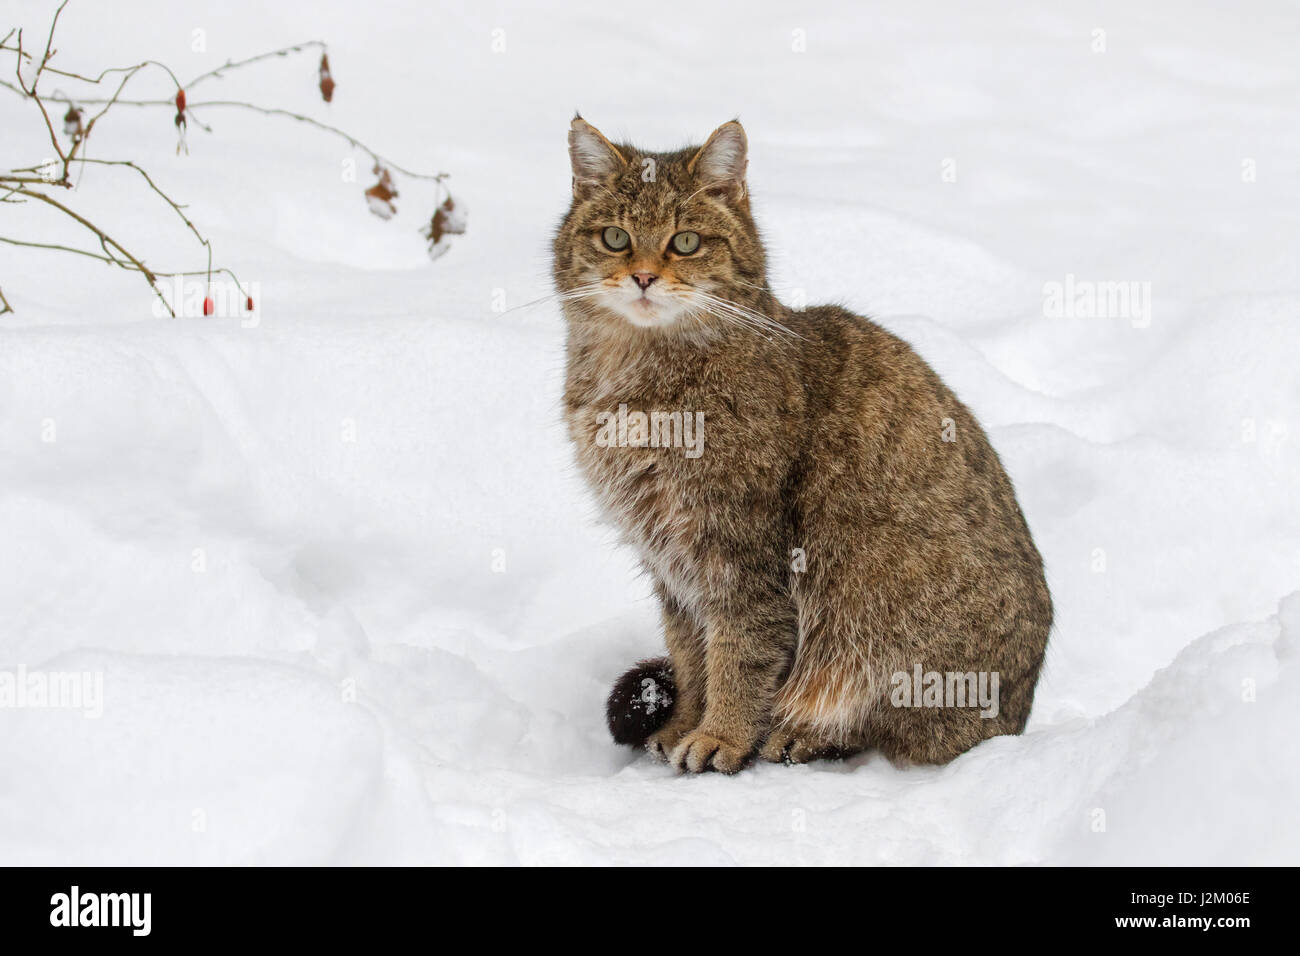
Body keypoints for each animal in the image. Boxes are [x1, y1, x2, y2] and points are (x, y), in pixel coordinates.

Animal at [553, 115, 1050, 775]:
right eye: (615, 237)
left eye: (685, 242)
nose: (643, 276)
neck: (635, 382)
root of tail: (1020, 716)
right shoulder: (670, 564)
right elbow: (689, 655)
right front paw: (685, 721)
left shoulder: (742, 553)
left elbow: (740, 654)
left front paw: (722, 734)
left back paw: (802, 733)